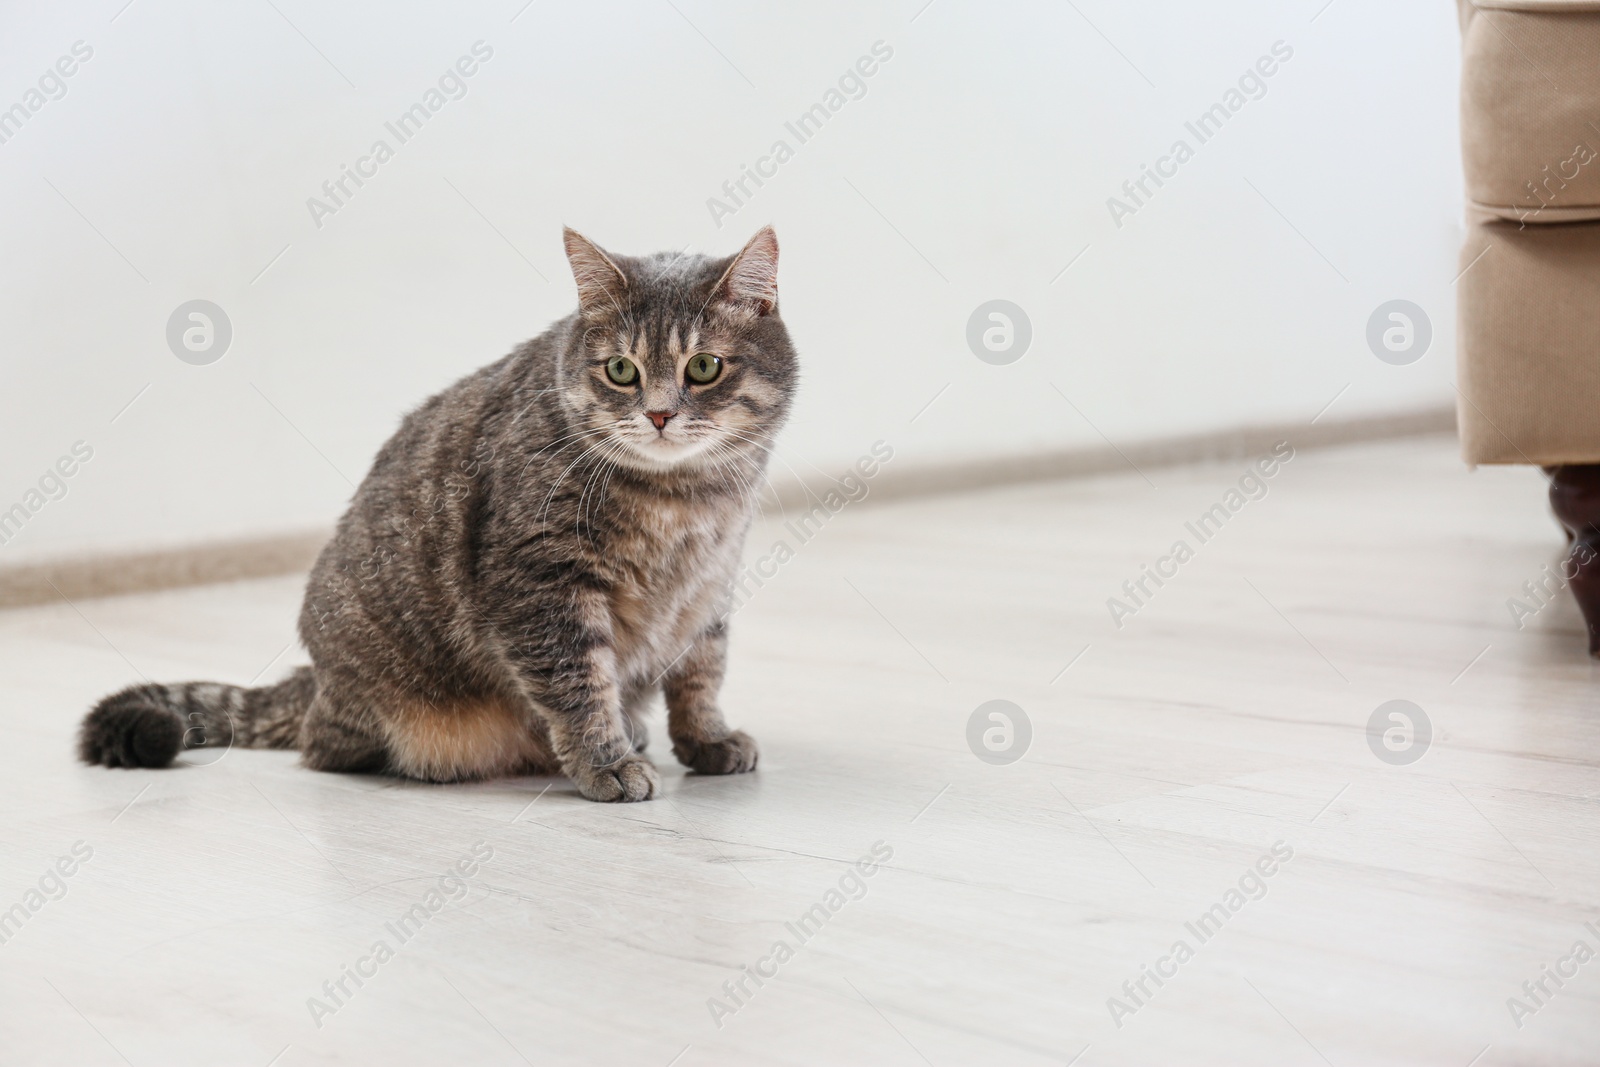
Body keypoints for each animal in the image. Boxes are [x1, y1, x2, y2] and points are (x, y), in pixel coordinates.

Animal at [81, 231, 793, 799]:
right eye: (621, 369)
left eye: (704, 367)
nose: (660, 414)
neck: (685, 498)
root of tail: (316, 678)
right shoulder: (541, 586)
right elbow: (579, 687)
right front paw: (605, 763)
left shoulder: (711, 584)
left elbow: (701, 674)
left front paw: (707, 740)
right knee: (324, 747)